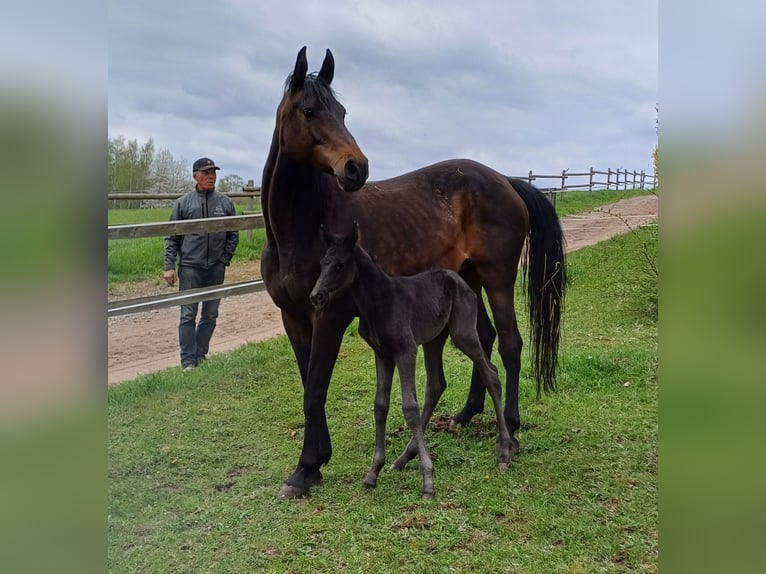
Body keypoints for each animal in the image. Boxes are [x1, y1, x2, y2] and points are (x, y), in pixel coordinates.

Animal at [310, 222, 513, 499]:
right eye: (322, 263)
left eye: (340, 264)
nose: (316, 296)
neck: (380, 302)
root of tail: (463, 282)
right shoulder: (383, 354)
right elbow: (380, 405)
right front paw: (373, 473)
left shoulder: (405, 351)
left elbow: (409, 407)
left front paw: (428, 481)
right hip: (433, 340)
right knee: (436, 385)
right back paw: (403, 459)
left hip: (463, 333)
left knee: (491, 374)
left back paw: (504, 451)